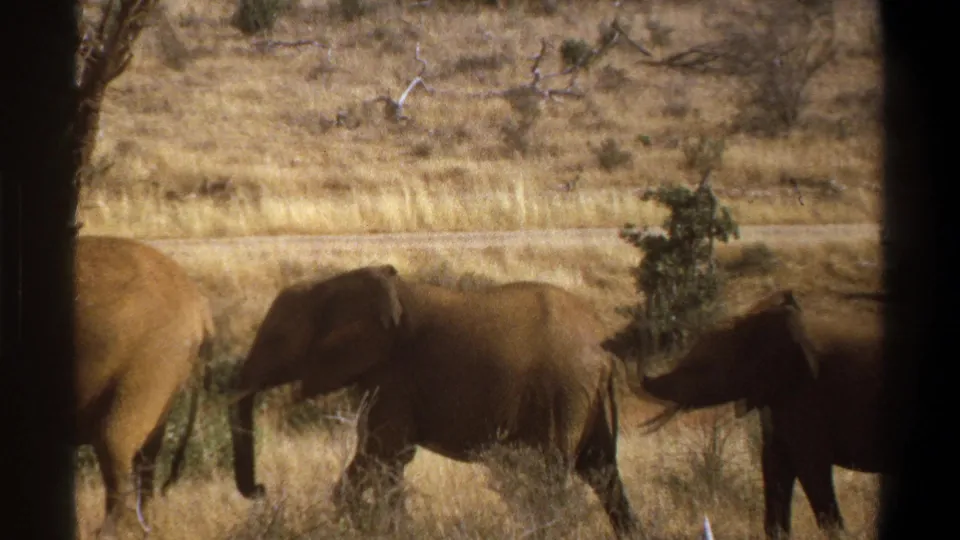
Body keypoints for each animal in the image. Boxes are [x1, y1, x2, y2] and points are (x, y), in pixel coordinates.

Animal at [227, 264, 643, 538]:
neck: (337, 281)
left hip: (562, 392)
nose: (261, 490)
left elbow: (383, 454)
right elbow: (385, 457)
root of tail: (604, 350)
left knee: (550, 477)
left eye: (277, 339)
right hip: (585, 397)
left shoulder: (394, 374)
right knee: (602, 472)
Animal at [621, 290, 891, 539]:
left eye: (703, 367)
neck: (754, 318)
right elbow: (774, 464)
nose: (644, 325)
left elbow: (810, 464)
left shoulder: (807, 392)